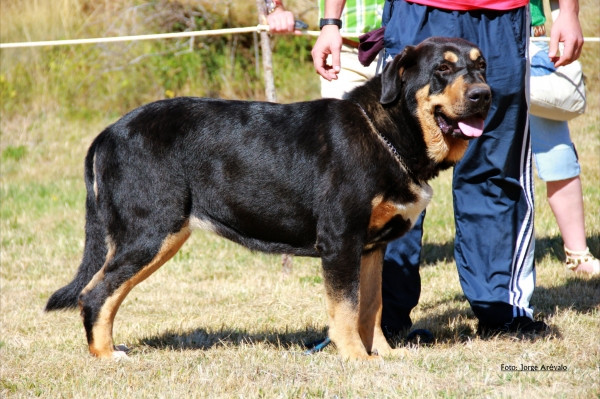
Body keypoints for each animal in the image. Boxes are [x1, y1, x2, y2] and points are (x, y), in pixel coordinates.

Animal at [48, 37, 492, 360]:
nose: (483, 95)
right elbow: (346, 310)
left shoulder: (370, 248)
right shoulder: (340, 242)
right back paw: (106, 355)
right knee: (95, 294)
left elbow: (372, 308)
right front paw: (356, 359)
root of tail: (108, 134)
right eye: (443, 69)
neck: (388, 134)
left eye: (482, 65)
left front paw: (384, 355)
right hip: (152, 232)